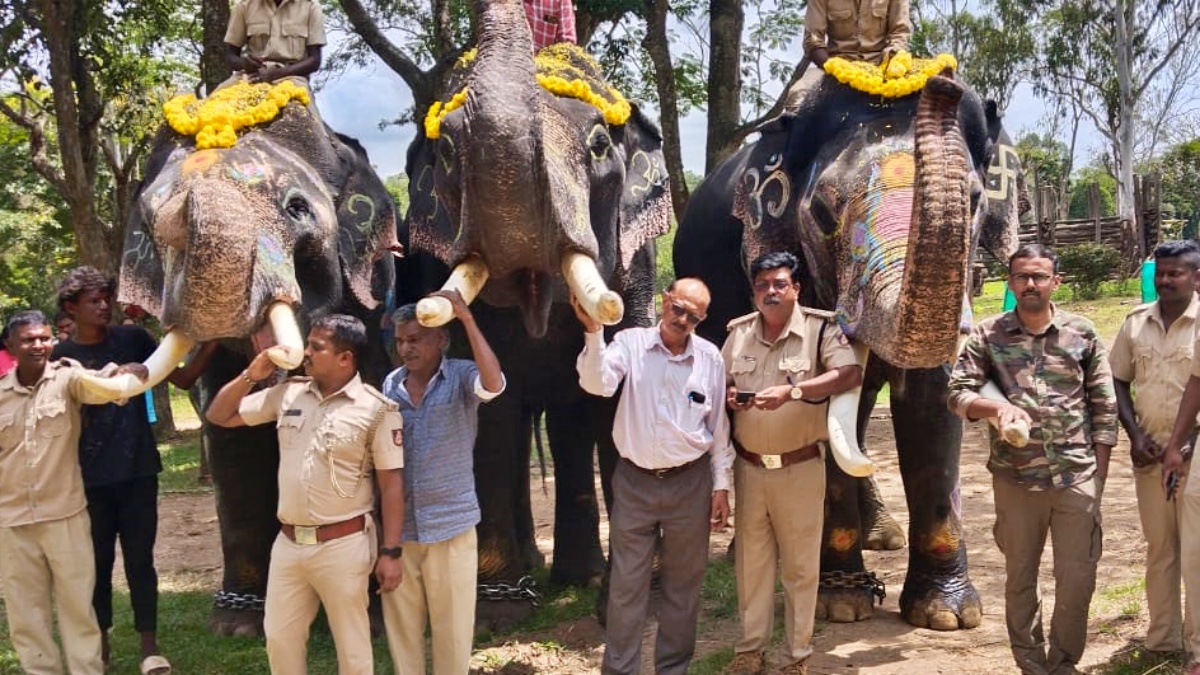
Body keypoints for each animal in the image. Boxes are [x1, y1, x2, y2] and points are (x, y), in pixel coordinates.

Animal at [85, 81, 403, 634]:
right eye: (147, 221)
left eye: (297, 208)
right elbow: (231, 439)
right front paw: (237, 625)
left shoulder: (370, 300)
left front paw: (377, 621)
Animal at [398, 0, 672, 619]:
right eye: (446, 153)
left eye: (599, 146)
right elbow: (490, 408)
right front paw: (498, 610)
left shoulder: (638, 266)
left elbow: (614, 397)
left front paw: (628, 603)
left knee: (569, 420)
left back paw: (579, 577)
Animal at [672, 65, 1027, 629]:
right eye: (821, 212)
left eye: (974, 200)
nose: (944, 83)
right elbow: (823, 412)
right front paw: (840, 605)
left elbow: (932, 401)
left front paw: (947, 614)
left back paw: (884, 536)